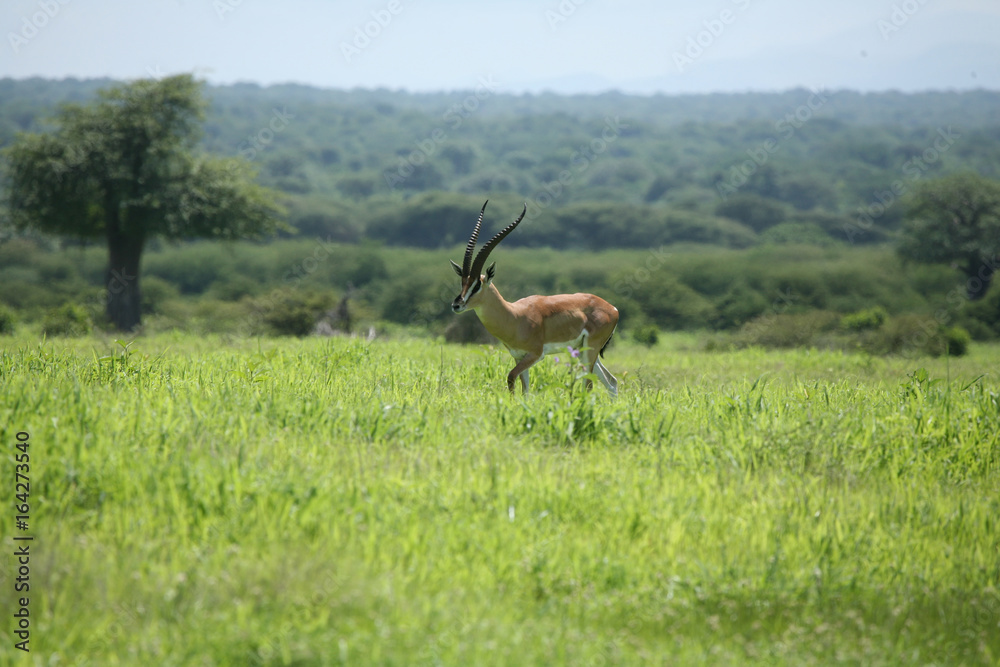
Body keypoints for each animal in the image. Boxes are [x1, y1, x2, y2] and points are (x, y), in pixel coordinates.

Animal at [451, 201, 620, 396]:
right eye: (463, 281)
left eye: (477, 284)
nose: (456, 305)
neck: (515, 316)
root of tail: (613, 308)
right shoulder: (519, 357)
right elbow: (525, 390)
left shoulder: (535, 355)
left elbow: (510, 377)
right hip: (584, 350)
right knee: (611, 382)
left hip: (590, 351)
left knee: (589, 385)